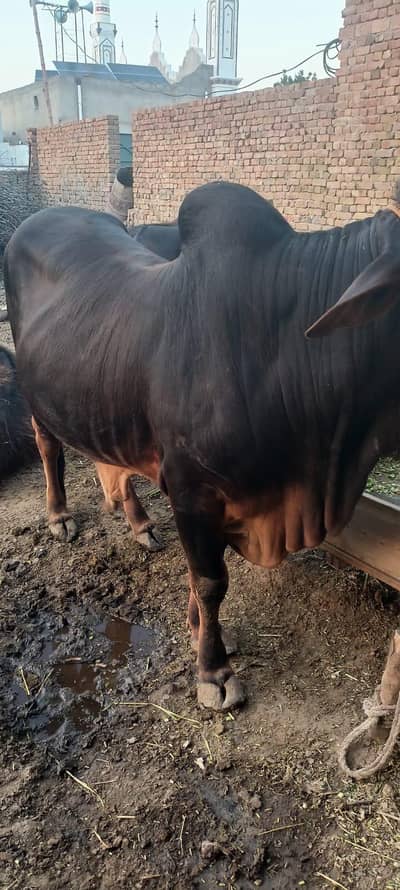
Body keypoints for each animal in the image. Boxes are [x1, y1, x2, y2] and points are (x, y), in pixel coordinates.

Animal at [5, 180, 400, 712]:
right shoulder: (193, 490)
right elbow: (211, 581)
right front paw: (213, 671)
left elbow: (201, 577)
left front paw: (202, 635)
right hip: (37, 397)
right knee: (50, 448)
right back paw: (59, 516)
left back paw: (139, 523)